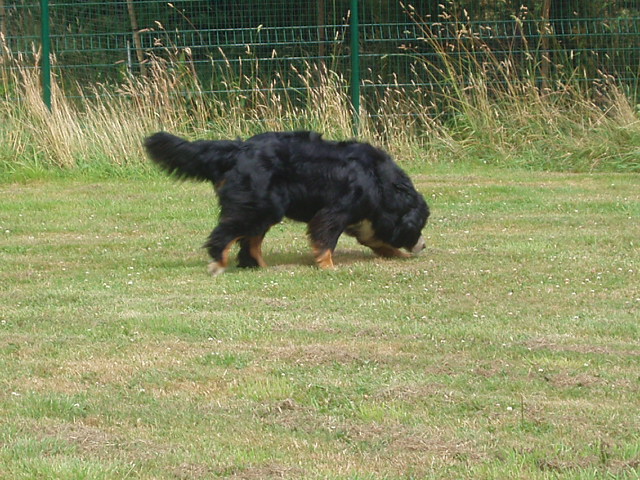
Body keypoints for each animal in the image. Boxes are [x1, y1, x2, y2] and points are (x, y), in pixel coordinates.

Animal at [142, 130, 428, 274]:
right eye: (419, 227)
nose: (424, 246)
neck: (380, 181)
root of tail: (239, 149)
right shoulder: (336, 210)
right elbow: (326, 237)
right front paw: (328, 266)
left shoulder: (364, 217)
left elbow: (376, 239)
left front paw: (396, 254)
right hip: (260, 205)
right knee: (228, 233)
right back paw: (220, 261)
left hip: (264, 208)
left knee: (251, 239)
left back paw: (257, 265)